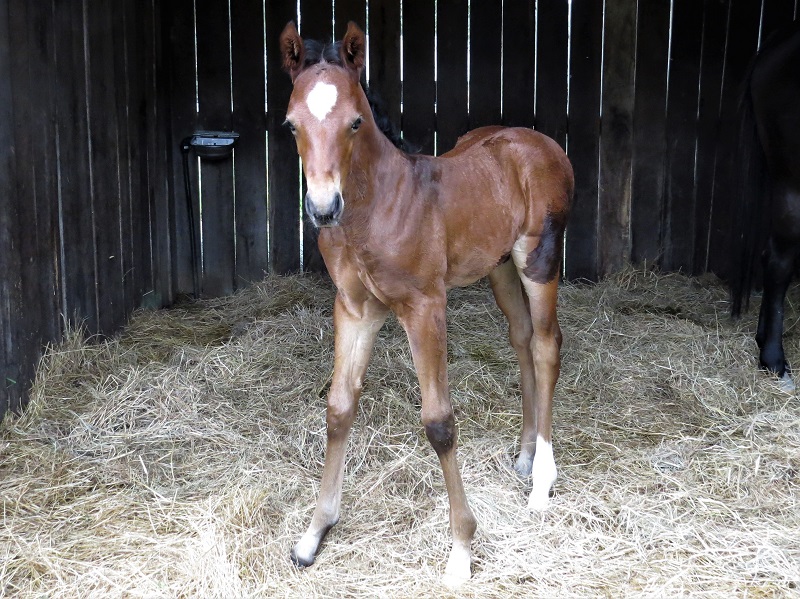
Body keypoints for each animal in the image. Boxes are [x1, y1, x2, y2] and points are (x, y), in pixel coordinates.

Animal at [280, 21, 574, 585]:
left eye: (355, 123)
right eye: (291, 125)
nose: (323, 208)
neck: (377, 206)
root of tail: (540, 141)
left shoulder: (424, 307)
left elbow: (438, 422)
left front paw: (461, 549)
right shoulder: (355, 309)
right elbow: (339, 406)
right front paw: (314, 534)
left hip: (538, 260)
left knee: (548, 345)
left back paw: (542, 483)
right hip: (499, 266)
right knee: (522, 340)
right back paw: (526, 457)